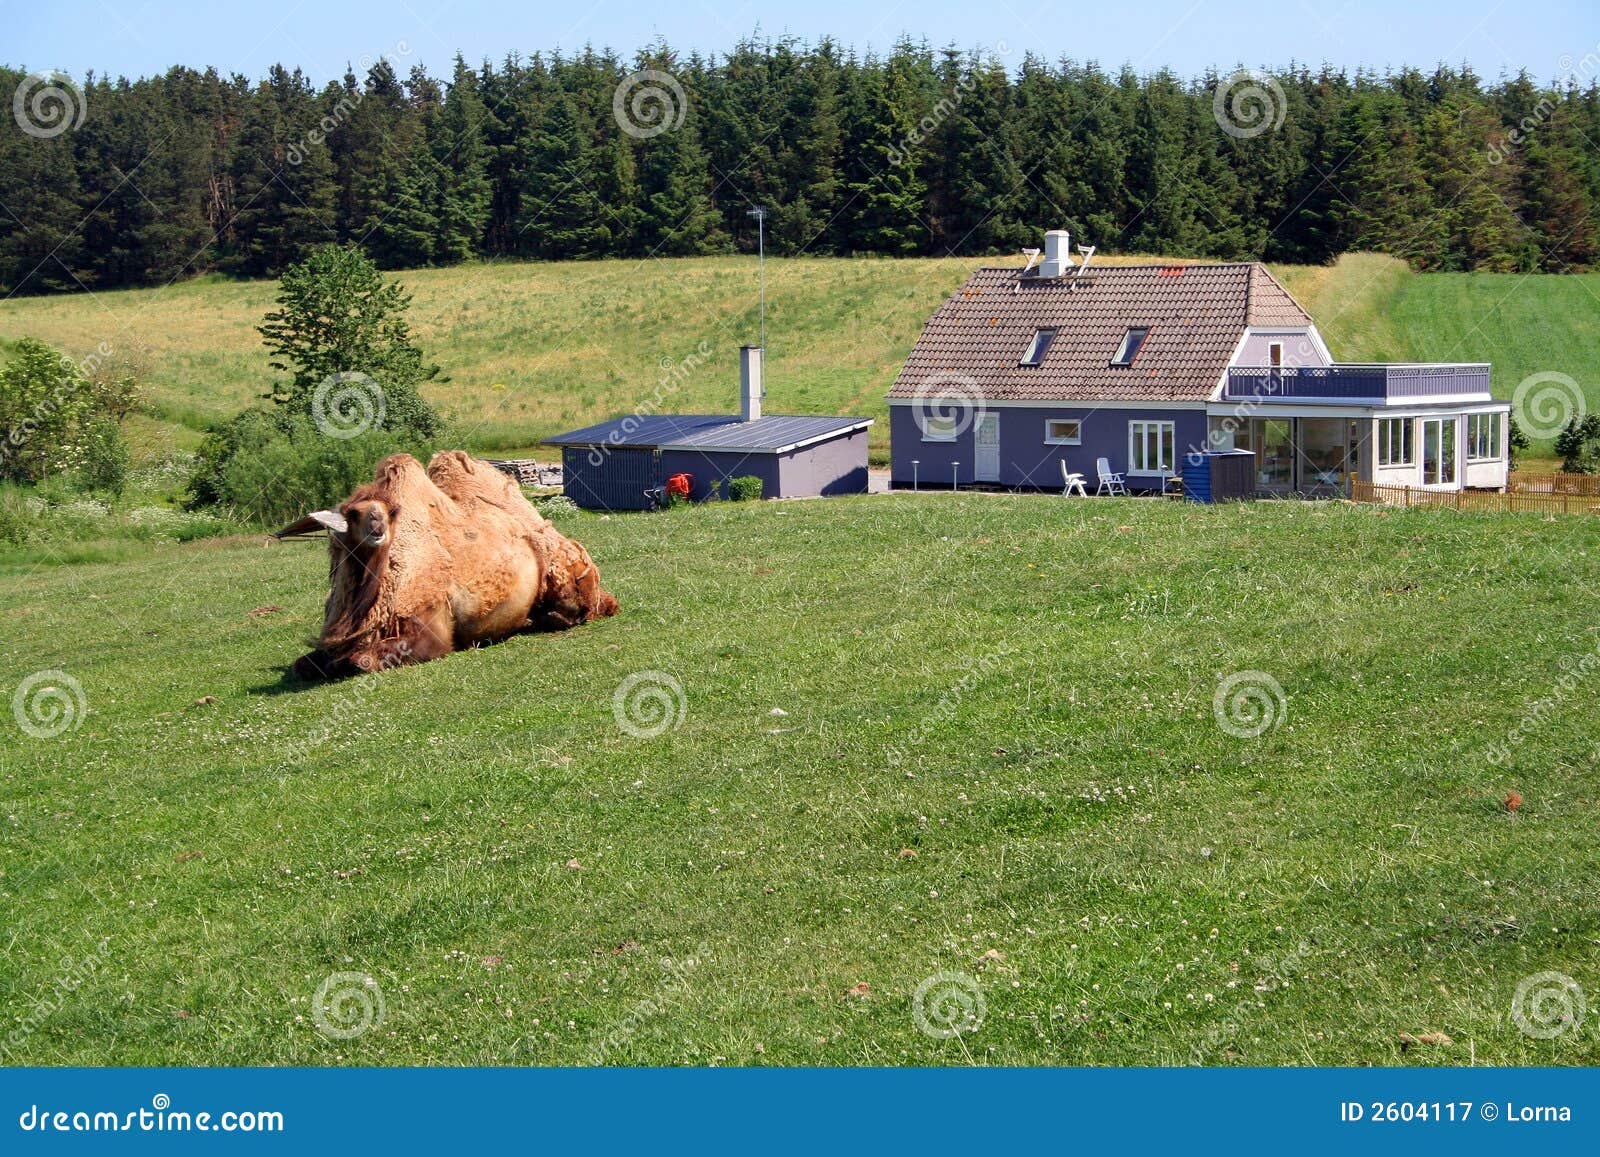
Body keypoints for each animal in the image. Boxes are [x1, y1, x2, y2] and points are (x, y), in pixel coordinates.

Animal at [276, 451, 618, 680]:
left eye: (388, 512)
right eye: (352, 513)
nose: (377, 528)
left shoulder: (432, 631)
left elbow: (361, 660)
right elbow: (303, 664)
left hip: (566, 578)